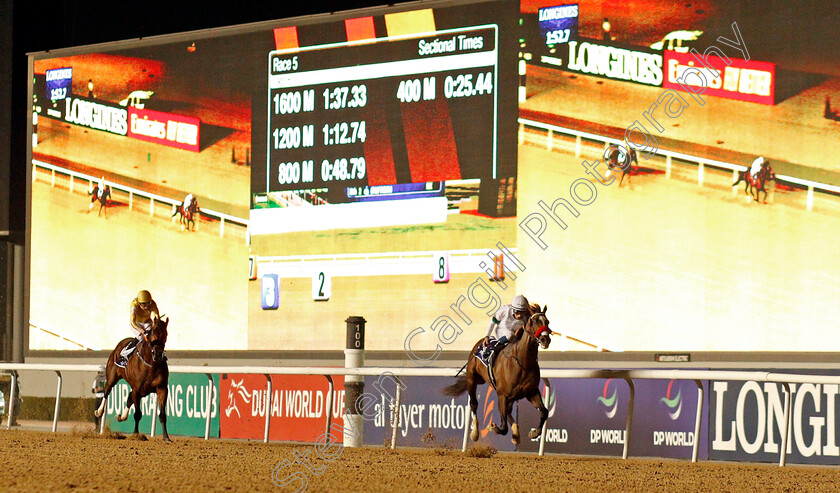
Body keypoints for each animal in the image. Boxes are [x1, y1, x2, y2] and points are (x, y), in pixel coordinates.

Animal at [442, 306, 556, 444]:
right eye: (533, 321)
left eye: (547, 322)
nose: (545, 340)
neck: (522, 362)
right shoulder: (502, 395)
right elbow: (503, 427)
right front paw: (492, 427)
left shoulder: (531, 392)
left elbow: (544, 412)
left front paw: (534, 433)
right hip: (472, 379)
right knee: (474, 403)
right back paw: (475, 433)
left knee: (508, 412)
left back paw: (516, 434)